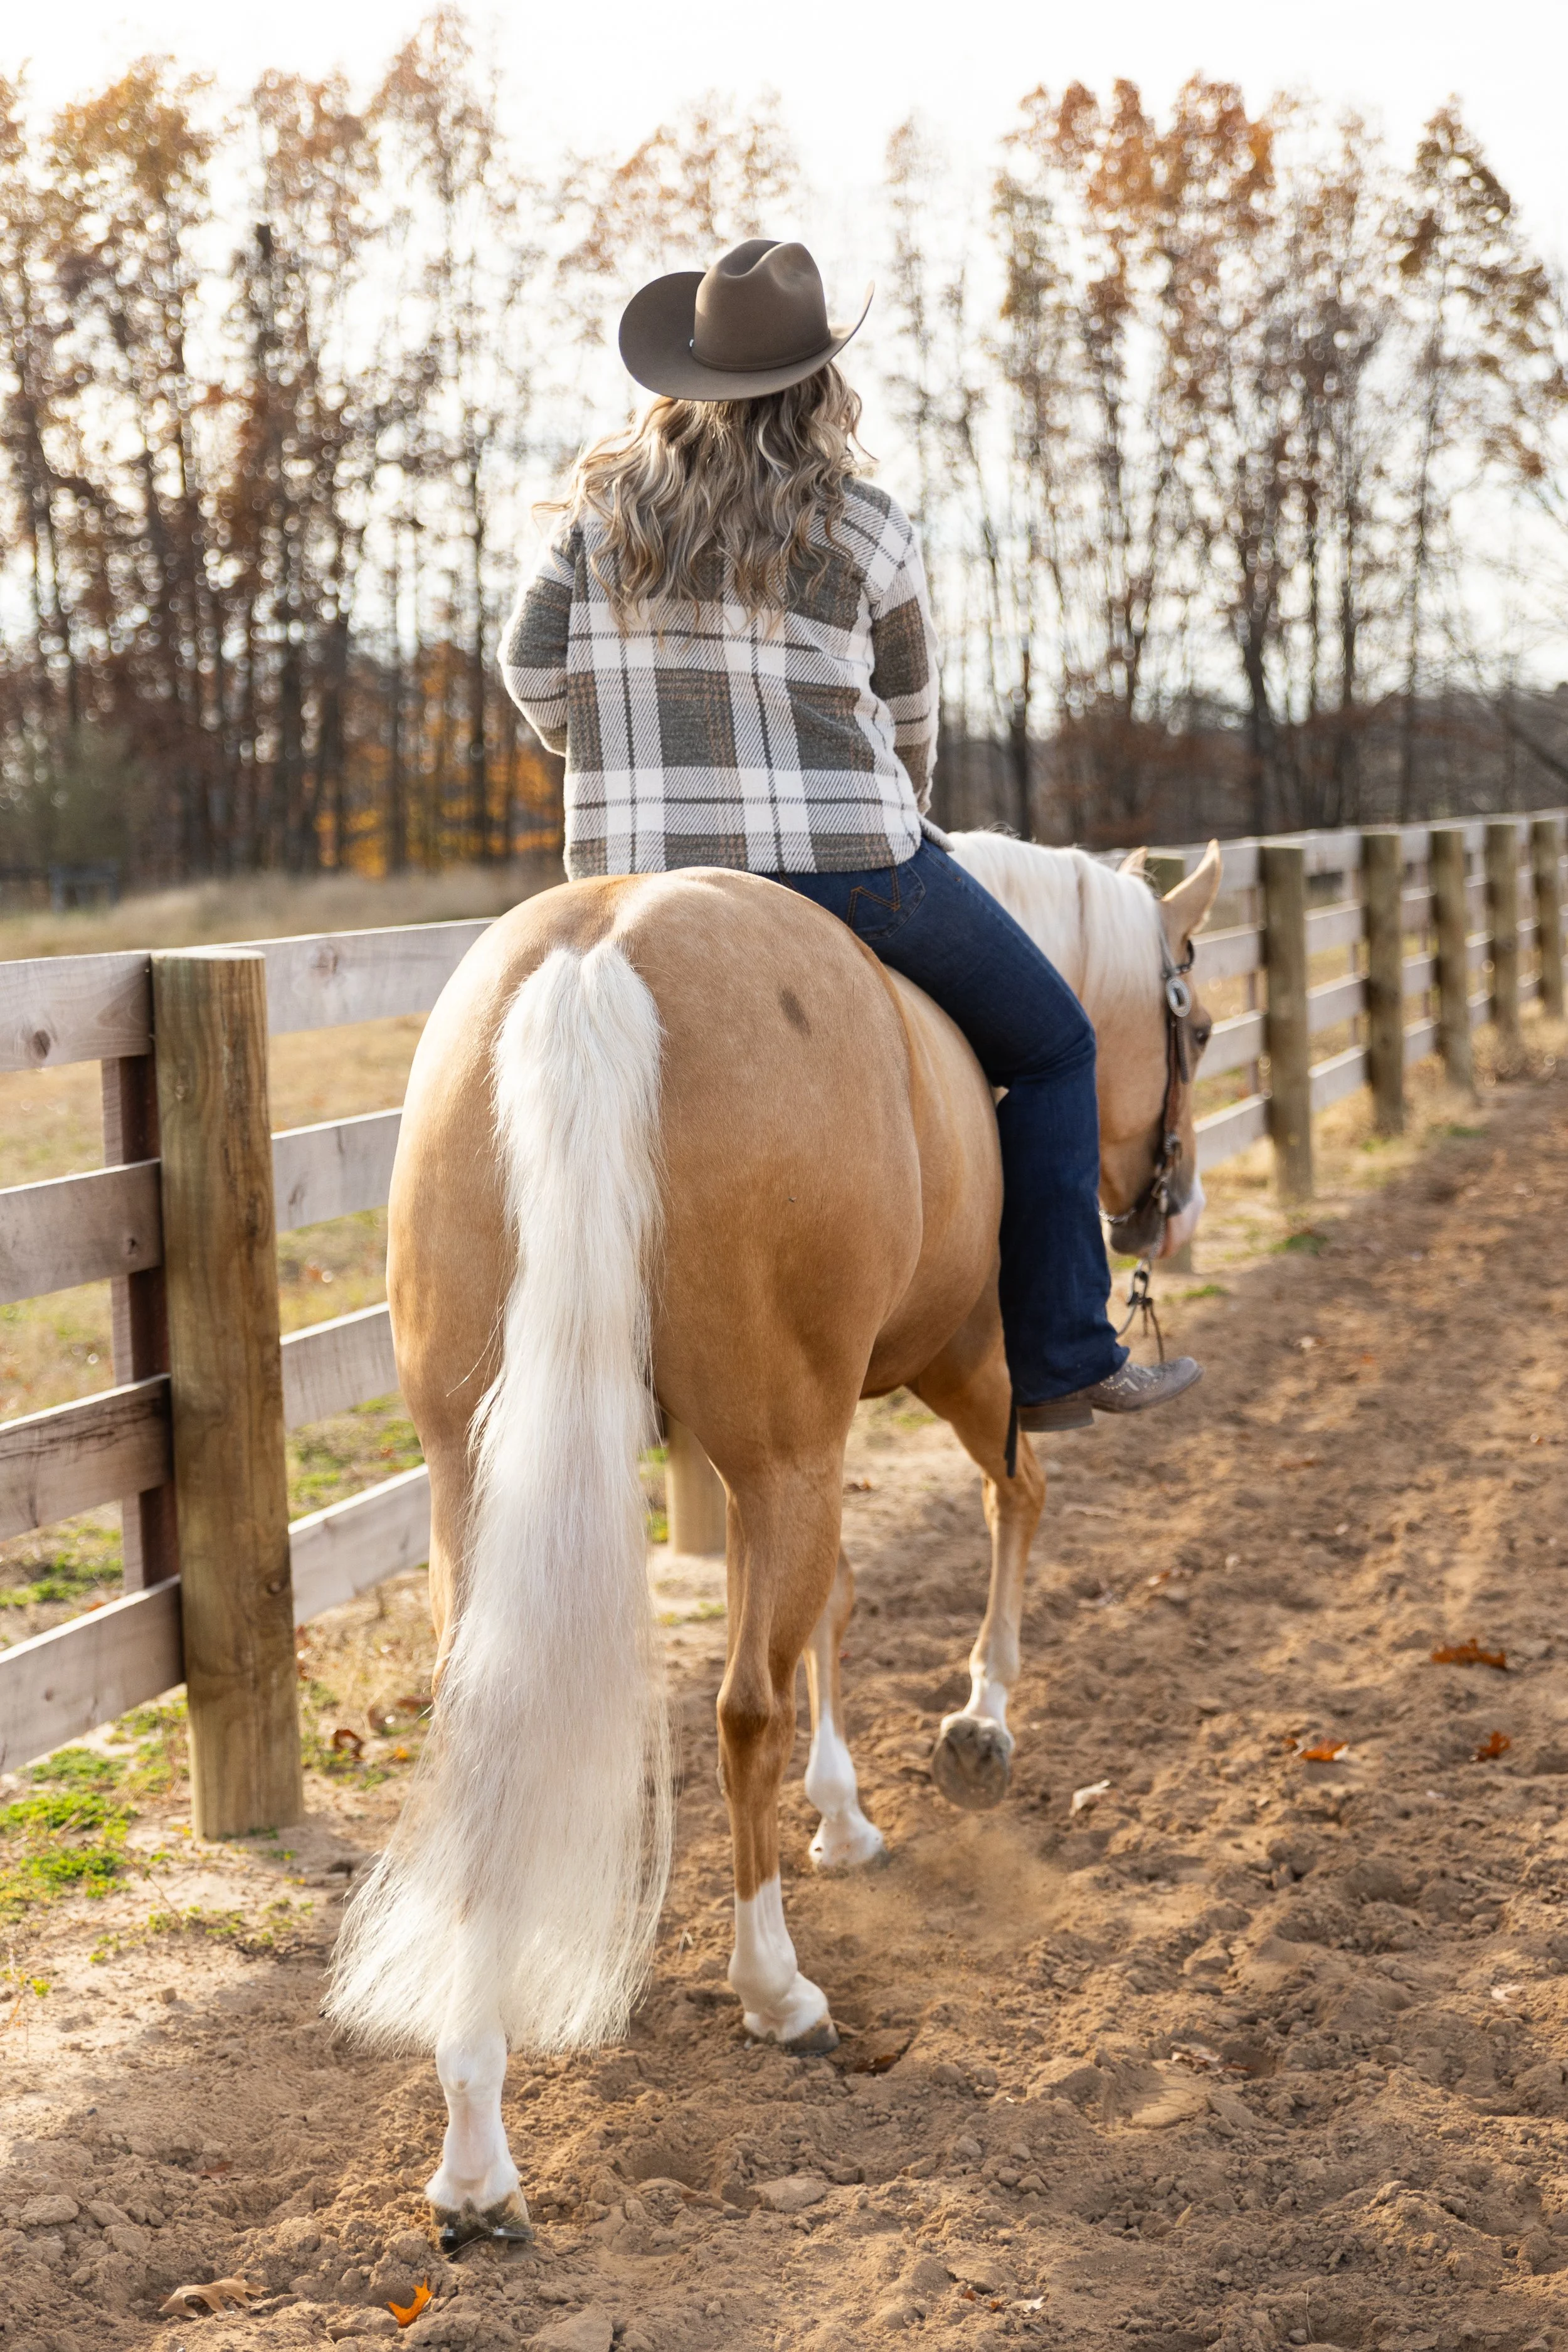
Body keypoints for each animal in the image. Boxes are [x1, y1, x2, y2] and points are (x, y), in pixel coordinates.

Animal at [325, 831, 1222, 2248]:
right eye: (1195, 1019)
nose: (1168, 1212)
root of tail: (596, 952)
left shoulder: (739, 1463)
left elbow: (833, 1604)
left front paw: (847, 1816)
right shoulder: (952, 1370)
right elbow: (1008, 1501)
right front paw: (977, 1726)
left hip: (477, 1472)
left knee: (495, 1736)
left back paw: (474, 2151)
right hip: (807, 1435)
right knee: (744, 1706)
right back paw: (776, 1991)